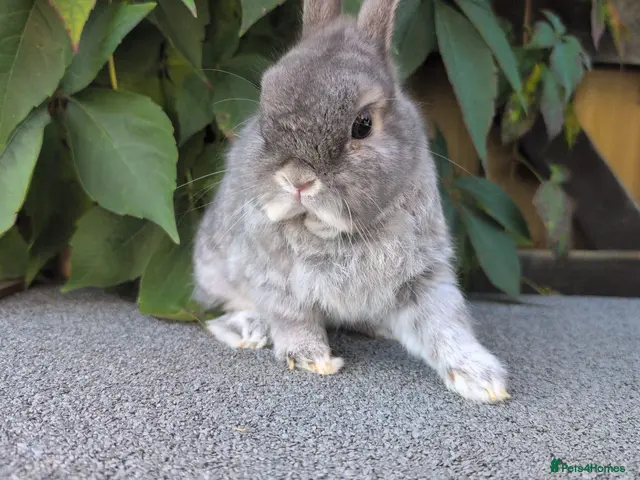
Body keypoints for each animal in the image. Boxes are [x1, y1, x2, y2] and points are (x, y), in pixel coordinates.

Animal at [192, 0, 510, 403]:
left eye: (363, 125)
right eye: (264, 115)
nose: (297, 180)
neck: (336, 233)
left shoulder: (422, 277)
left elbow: (444, 323)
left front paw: (483, 380)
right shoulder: (274, 279)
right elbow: (292, 318)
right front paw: (312, 358)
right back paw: (248, 331)